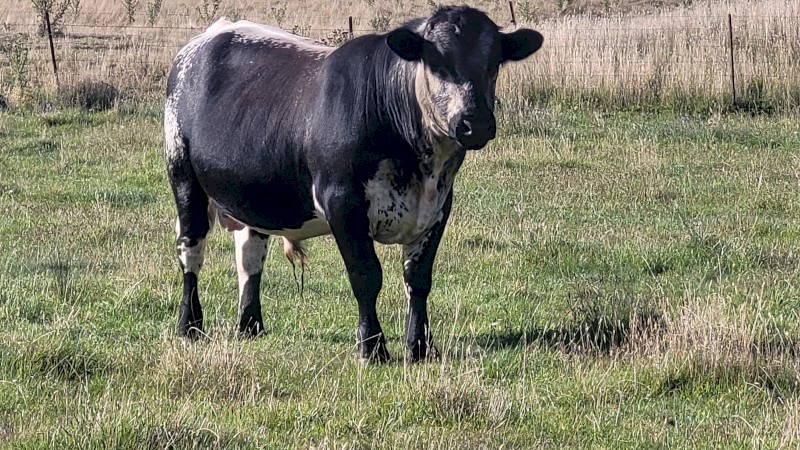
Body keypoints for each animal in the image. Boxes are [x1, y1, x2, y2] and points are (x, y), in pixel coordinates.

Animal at [164, 5, 543, 363]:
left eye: (494, 63)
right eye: (436, 63)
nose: (474, 123)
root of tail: (214, 32)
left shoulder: (438, 206)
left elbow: (418, 279)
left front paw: (420, 347)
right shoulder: (342, 203)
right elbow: (366, 276)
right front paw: (372, 348)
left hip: (252, 196)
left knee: (249, 256)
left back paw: (250, 325)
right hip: (182, 175)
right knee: (191, 251)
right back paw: (189, 325)